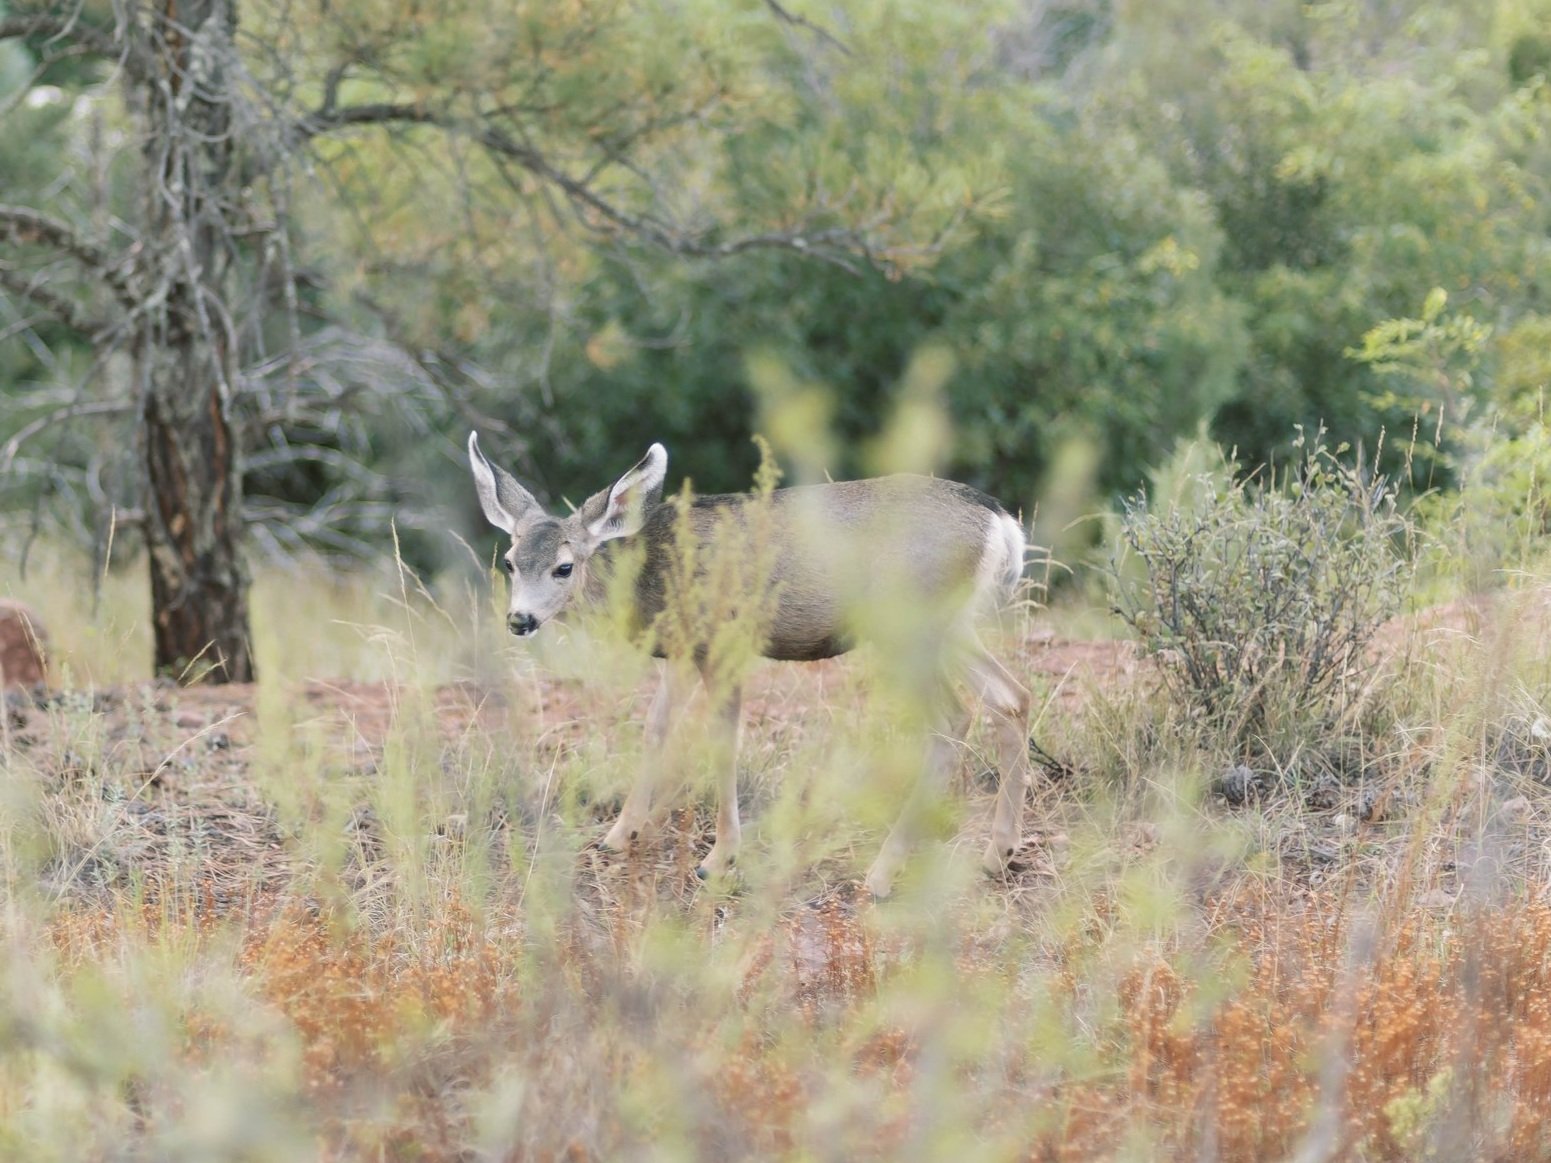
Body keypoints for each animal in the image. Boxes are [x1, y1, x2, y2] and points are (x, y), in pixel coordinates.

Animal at [465, 434, 1036, 899]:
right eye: (510, 562)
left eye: (564, 567)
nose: (519, 619)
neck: (653, 574)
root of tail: (1000, 521)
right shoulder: (683, 649)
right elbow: (657, 728)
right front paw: (618, 835)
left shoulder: (724, 642)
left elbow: (723, 742)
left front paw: (717, 860)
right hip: (951, 626)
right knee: (1011, 697)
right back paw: (997, 855)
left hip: (908, 623)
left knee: (953, 718)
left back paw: (880, 875)